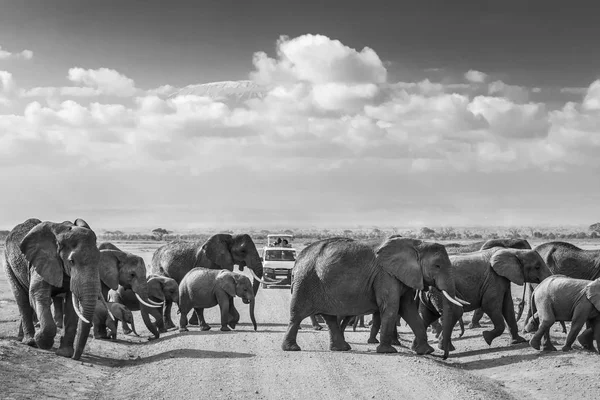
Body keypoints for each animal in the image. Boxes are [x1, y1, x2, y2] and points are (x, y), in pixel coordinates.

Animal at [2, 219, 101, 360]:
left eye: (99, 259)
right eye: (72, 261)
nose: (75, 357)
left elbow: (71, 304)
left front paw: (65, 353)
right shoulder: (41, 260)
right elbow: (38, 295)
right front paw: (41, 340)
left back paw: (23, 339)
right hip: (8, 263)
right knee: (22, 299)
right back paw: (30, 341)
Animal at [282, 238, 464, 360]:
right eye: (437, 266)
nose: (444, 356)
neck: (416, 244)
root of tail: (297, 259)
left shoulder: (403, 276)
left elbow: (408, 309)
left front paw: (427, 351)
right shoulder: (386, 275)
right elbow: (392, 308)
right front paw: (388, 351)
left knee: (330, 318)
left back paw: (342, 348)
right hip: (305, 281)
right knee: (297, 315)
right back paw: (292, 348)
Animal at [420, 245, 552, 348]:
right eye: (537, 267)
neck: (513, 251)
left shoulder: (503, 278)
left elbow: (507, 306)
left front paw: (518, 341)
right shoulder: (494, 278)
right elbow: (489, 305)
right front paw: (486, 337)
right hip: (439, 291)